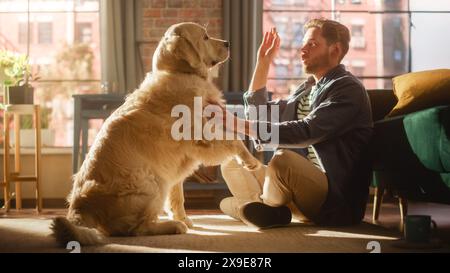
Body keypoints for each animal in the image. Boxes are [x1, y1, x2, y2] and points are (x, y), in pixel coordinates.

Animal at [50, 22, 260, 244]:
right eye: (205, 37)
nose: (228, 43)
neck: (180, 73)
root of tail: (80, 208)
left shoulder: (176, 165)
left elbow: (177, 196)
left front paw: (184, 218)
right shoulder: (202, 136)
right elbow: (234, 140)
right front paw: (250, 161)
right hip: (151, 182)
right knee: (134, 229)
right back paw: (172, 226)